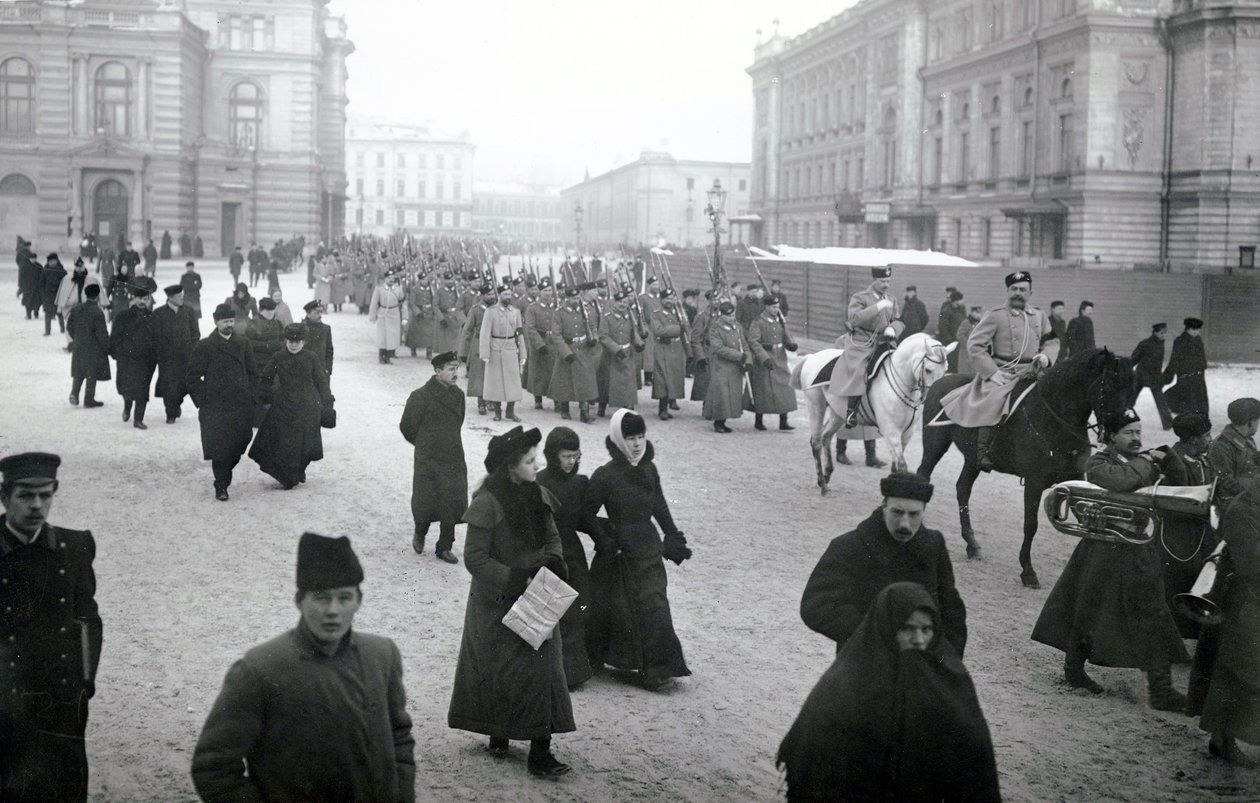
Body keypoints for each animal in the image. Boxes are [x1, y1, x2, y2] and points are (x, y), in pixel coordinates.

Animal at [786, 327, 952, 491]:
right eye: (928, 370)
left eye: (945, 370)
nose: (934, 397)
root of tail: (812, 357)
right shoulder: (890, 431)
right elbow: (902, 466)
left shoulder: (907, 433)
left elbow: (896, 467)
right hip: (816, 406)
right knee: (816, 442)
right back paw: (822, 482)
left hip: (837, 413)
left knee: (826, 436)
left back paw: (826, 475)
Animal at [917, 347, 1134, 584]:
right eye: (1111, 385)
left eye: (1131, 387)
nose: (1124, 427)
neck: (1054, 420)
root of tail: (940, 382)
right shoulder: (1033, 483)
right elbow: (1031, 525)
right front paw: (1028, 571)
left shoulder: (1077, 480)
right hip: (935, 446)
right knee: (923, 476)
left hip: (972, 460)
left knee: (962, 489)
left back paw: (972, 545)